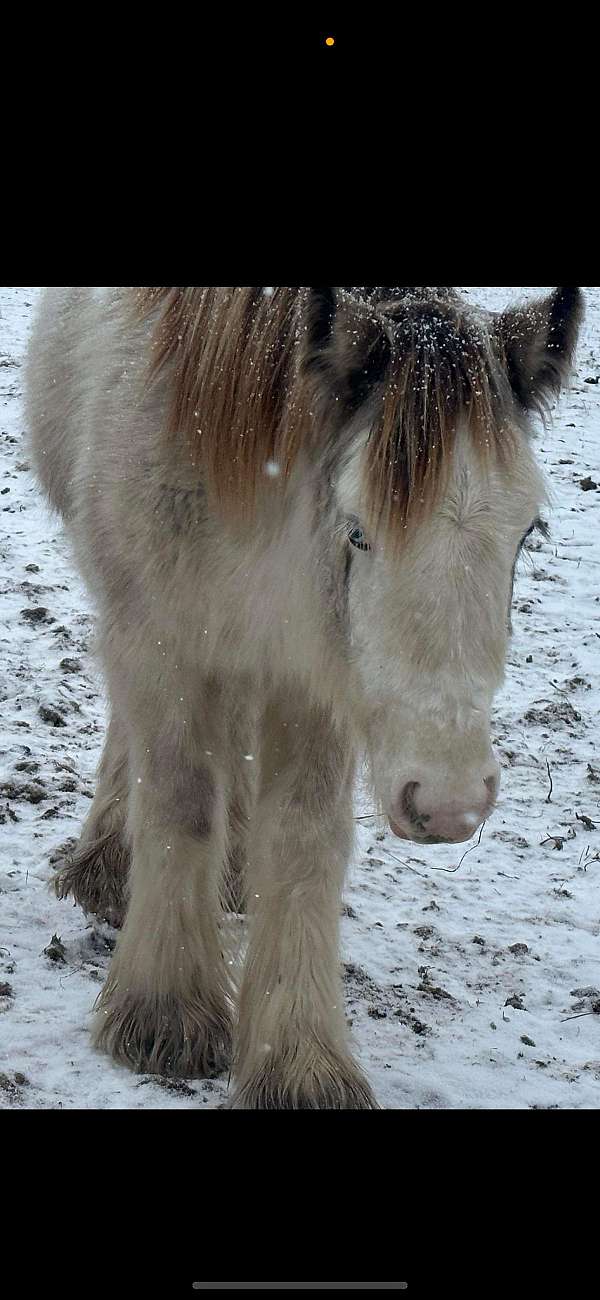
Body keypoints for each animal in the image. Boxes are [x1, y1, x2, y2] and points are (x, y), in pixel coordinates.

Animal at [25, 284, 584, 1107]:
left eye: (526, 534)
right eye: (357, 533)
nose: (450, 804)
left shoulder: (313, 675)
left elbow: (303, 843)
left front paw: (299, 1063)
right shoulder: (162, 641)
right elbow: (181, 806)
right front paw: (166, 1012)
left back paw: (231, 877)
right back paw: (108, 866)